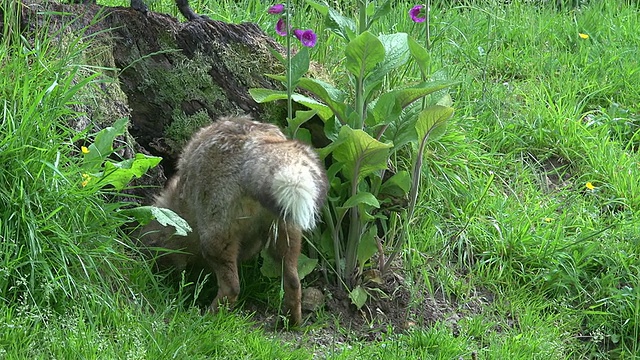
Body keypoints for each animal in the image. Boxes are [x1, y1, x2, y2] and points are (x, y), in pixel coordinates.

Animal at [142, 115, 328, 326]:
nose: (155, 276)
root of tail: (258, 143)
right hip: (286, 237)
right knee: (294, 282)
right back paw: (292, 322)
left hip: (215, 240)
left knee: (232, 288)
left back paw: (206, 318)